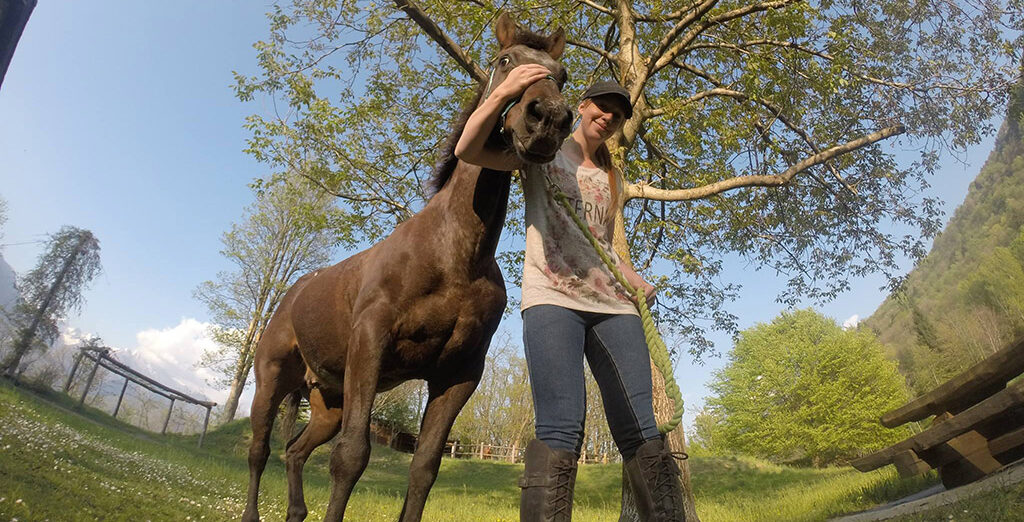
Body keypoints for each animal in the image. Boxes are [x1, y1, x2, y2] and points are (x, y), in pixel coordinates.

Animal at [242, 12, 573, 522]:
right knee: (259, 450)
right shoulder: (370, 344)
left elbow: (424, 469)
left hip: (328, 403)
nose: (549, 119)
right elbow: (351, 457)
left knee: (294, 451)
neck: (455, 255)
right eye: (504, 61)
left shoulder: (458, 374)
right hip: (272, 380)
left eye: (562, 75)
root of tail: (291, 294)